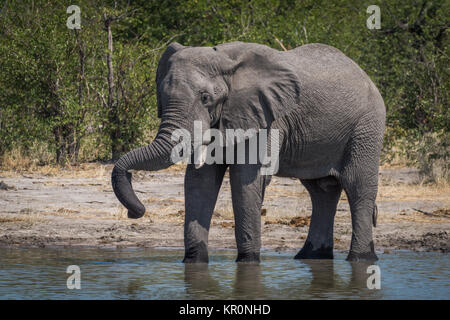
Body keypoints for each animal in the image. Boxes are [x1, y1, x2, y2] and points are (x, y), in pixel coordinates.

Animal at [110, 41, 384, 264]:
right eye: (162, 96)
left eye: (205, 97)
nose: (135, 212)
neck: (225, 59)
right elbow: (200, 181)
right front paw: (194, 263)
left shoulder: (267, 118)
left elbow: (246, 179)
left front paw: (248, 262)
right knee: (322, 191)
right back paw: (311, 257)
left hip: (366, 127)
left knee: (357, 186)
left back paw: (360, 259)